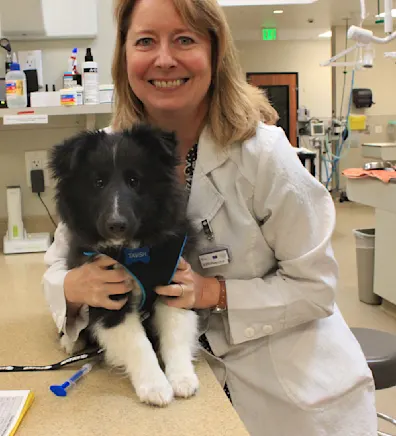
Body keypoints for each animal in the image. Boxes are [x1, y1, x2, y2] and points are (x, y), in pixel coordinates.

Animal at [49, 125, 198, 406]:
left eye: (134, 180)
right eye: (98, 183)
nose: (116, 225)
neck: (133, 251)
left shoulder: (175, 284)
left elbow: (175, 332)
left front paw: (183, 379)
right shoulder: (107, 299)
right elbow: (138, 343)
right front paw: (155, 387)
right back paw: (71, 342)